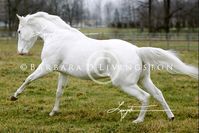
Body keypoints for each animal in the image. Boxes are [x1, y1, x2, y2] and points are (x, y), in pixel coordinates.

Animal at [11, 11, 197, 123]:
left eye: (19, 31)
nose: (20, 52)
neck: (57, 36)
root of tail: (137, 50)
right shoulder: (63, 73)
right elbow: (59, 92)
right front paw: (54, 112)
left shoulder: (46, 67)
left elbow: (28, 79)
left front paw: (14, 96)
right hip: (144, 80)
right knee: (158, 94)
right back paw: (170, 117)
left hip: (125, 84)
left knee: (145, 97)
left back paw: (138, 120)